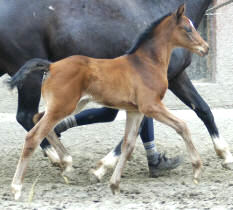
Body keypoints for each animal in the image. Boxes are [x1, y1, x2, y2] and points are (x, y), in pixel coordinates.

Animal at [9, 4, 208, 199]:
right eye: (187, 29)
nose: (205, 48)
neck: (146, 63)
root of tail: (51, 65)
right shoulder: (151, 105)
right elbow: (182, 126)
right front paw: (197, 170)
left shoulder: (135, 111)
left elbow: (128, 145)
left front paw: (114, 184)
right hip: (62, 106)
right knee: (33, 136)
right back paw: (17, 187)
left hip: (70, 105)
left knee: (38, 119)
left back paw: (66, 162)